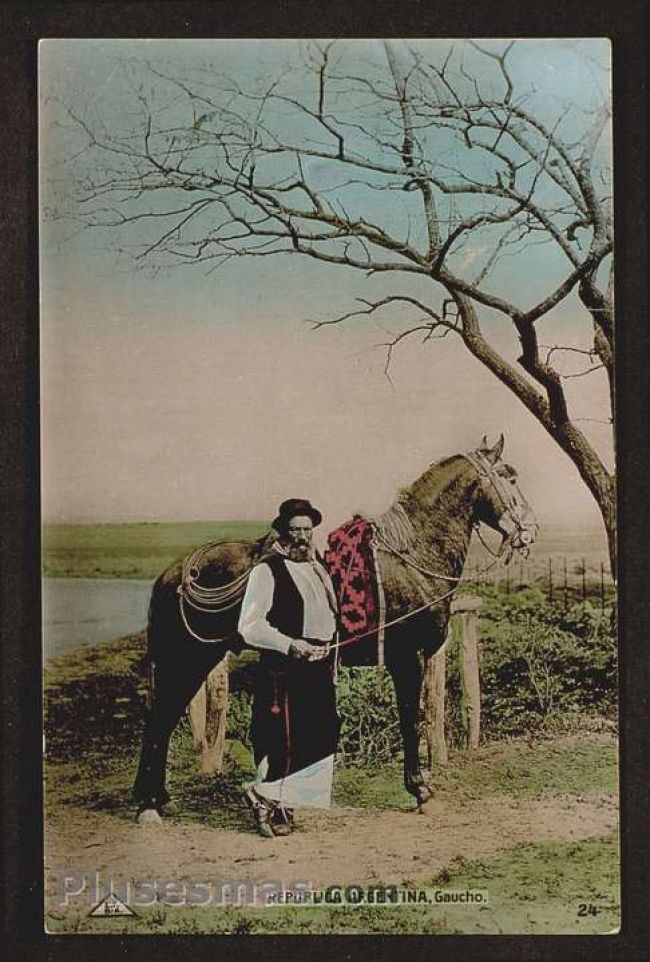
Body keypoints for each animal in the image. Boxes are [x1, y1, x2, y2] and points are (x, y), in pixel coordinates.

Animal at [134, 436, 536, 816]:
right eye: (509, 476)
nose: (529, 531)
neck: (413, 556)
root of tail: (176, 573)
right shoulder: (408, 658)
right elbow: (412, 718)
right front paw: (420, 790)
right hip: (189, 658)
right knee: (159, 719)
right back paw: (148, 804)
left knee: (163, 718)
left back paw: (157, 797)